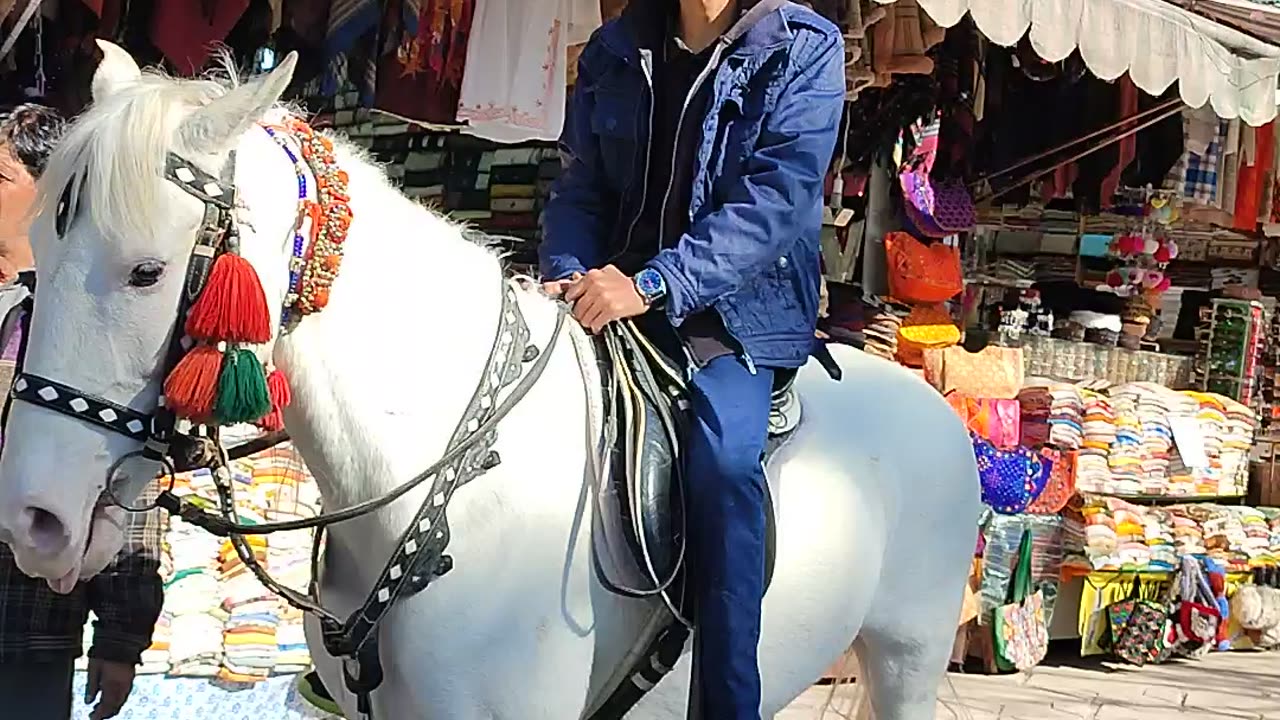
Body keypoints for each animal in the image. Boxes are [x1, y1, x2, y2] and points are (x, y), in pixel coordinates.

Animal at [0, 46, 977, 717]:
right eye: (39, 248)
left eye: (147, 272)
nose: (33, 521)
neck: (442, 481)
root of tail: (931, 406)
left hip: (911, 650)